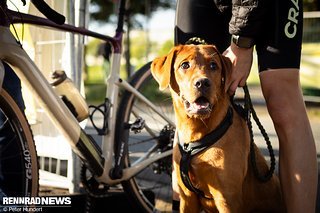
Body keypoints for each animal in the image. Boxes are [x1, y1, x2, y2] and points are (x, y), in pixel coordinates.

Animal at [151, 44, 284, 212]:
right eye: (185, 65)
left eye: (214, 65)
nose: (203, 83)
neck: (196, 132)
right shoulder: (187, 197)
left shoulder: (227, 198)